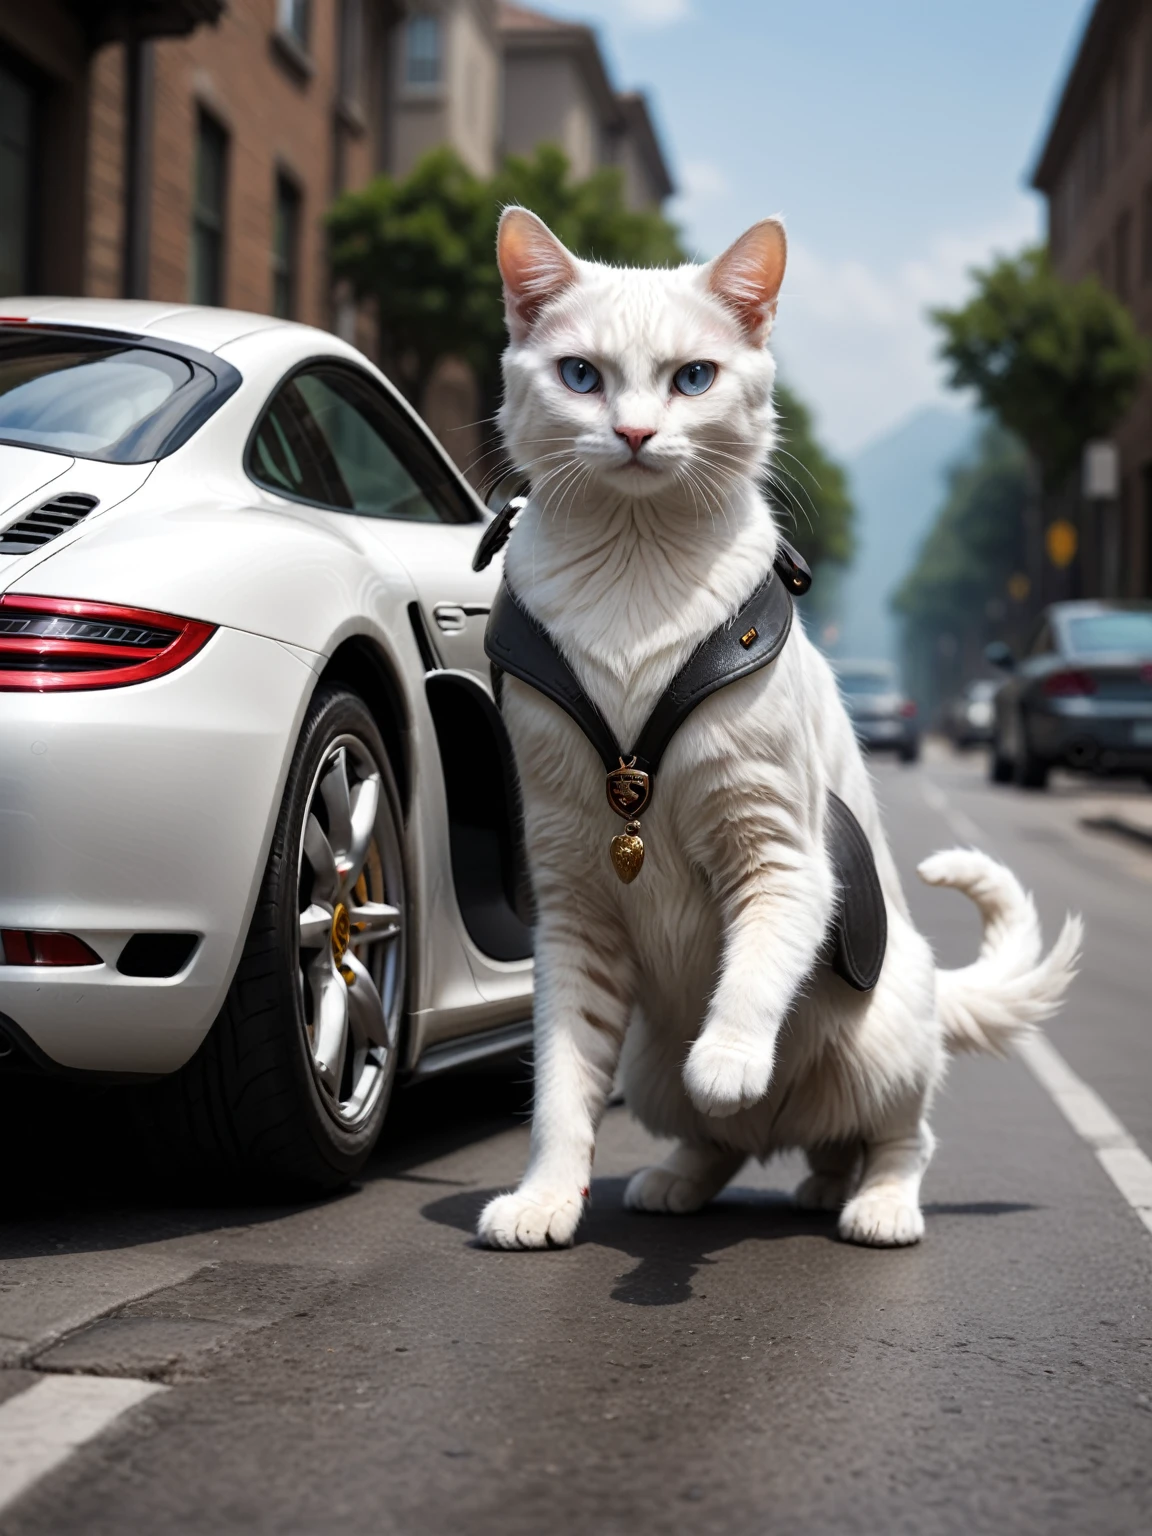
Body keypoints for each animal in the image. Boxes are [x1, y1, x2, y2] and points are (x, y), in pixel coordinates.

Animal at [476, 210, 1081, 1253]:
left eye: (693, 377)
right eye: (581, 375)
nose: (633, 431)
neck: (634, 573)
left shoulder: (784, 854)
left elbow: (754, 972)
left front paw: (729, 1057)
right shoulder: (571, 900)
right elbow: (559, 1087)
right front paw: (546, 1200)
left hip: (886, 1045)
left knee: (900, 1138)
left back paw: (874, 1206)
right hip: (650, 1065)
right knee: (733, 1143)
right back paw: (693, 1179)